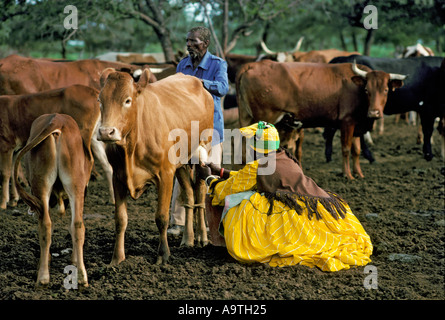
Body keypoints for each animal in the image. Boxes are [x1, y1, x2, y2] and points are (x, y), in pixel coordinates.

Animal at [13, 113, 92, 288]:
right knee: (76, 225)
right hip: (75, 185)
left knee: (46, 225)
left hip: (42, 185)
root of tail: (57, 120)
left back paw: (43, 276)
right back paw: (81, 276)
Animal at [97, 68, 215, 264]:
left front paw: (163, 255)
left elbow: (161, 217)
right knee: (189, 195)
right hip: (181, 163)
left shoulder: (165, 174)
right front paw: (117, 259)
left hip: (202, 152)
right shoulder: (118, 177)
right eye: (100, 100)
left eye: (127, 100)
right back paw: (188, 239)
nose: (106, 132)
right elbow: (120, 220)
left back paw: (203, 238)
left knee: (199, 191)